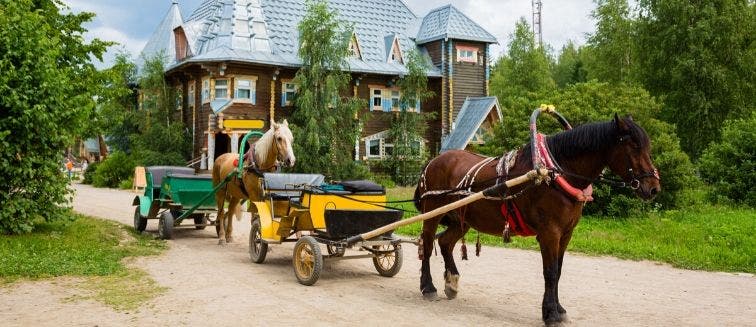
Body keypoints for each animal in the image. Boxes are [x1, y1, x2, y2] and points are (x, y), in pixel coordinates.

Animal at [414, 115, 660, 326]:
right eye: (634, 146)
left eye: (647, 147)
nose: (654, 188)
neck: (555, 173)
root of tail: (433, 161)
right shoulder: (549, 233)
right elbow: (549, 272)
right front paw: (550, 314)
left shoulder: (566, 233)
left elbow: (558, 271)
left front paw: (558, 309)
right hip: (432, 212)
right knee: (427, 244)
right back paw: (428, 287)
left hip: (462, 219)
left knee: (445, 242)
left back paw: (451, 282)